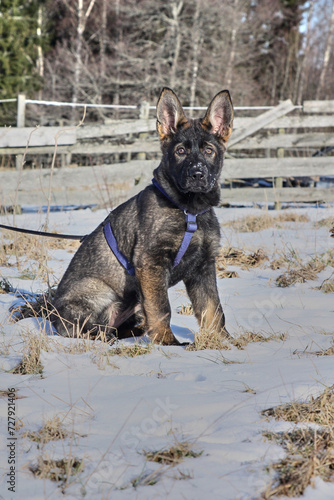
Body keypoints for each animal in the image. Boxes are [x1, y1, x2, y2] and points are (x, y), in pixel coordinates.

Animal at [52, 88, 235, 344]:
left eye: (209, 151)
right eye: (180, 151)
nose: (197, 175)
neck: (189, 210)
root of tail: (53, 318)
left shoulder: (203, 265)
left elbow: (213, 308)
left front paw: (224, 341)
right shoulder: (151, 261)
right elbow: (161, 307)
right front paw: (168, 342)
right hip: (98, 290)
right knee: (90, 328)